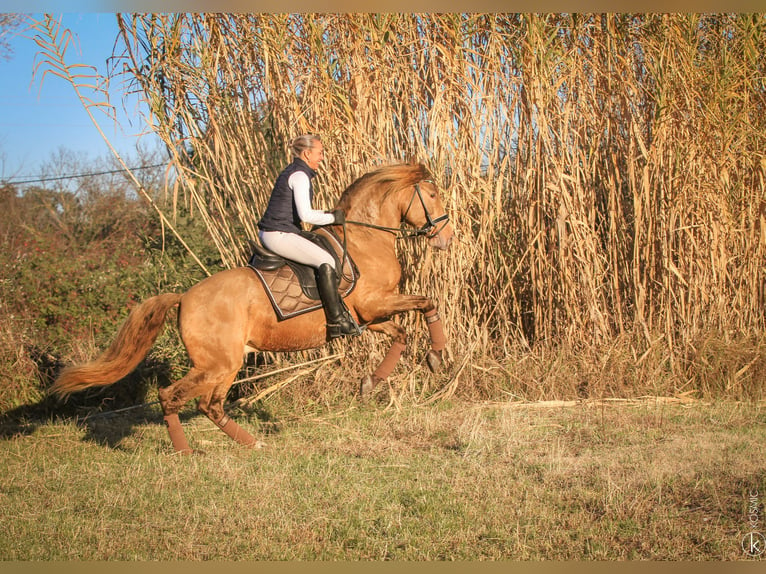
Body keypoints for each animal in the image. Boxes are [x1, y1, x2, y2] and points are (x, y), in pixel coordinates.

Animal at [52, 164, 456, 456]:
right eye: (432, 194)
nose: (446, 238)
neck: (365, 240)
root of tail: (184, 297)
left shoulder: (369, 317)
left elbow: (401, 333)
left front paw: (373, 381)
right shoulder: (375, 304)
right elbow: (428, 302)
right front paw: (437, 356)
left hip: (226, 364)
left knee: (210, 406)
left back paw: (251, 443)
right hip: (217, 364)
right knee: (175, 397)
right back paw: (187, 453)